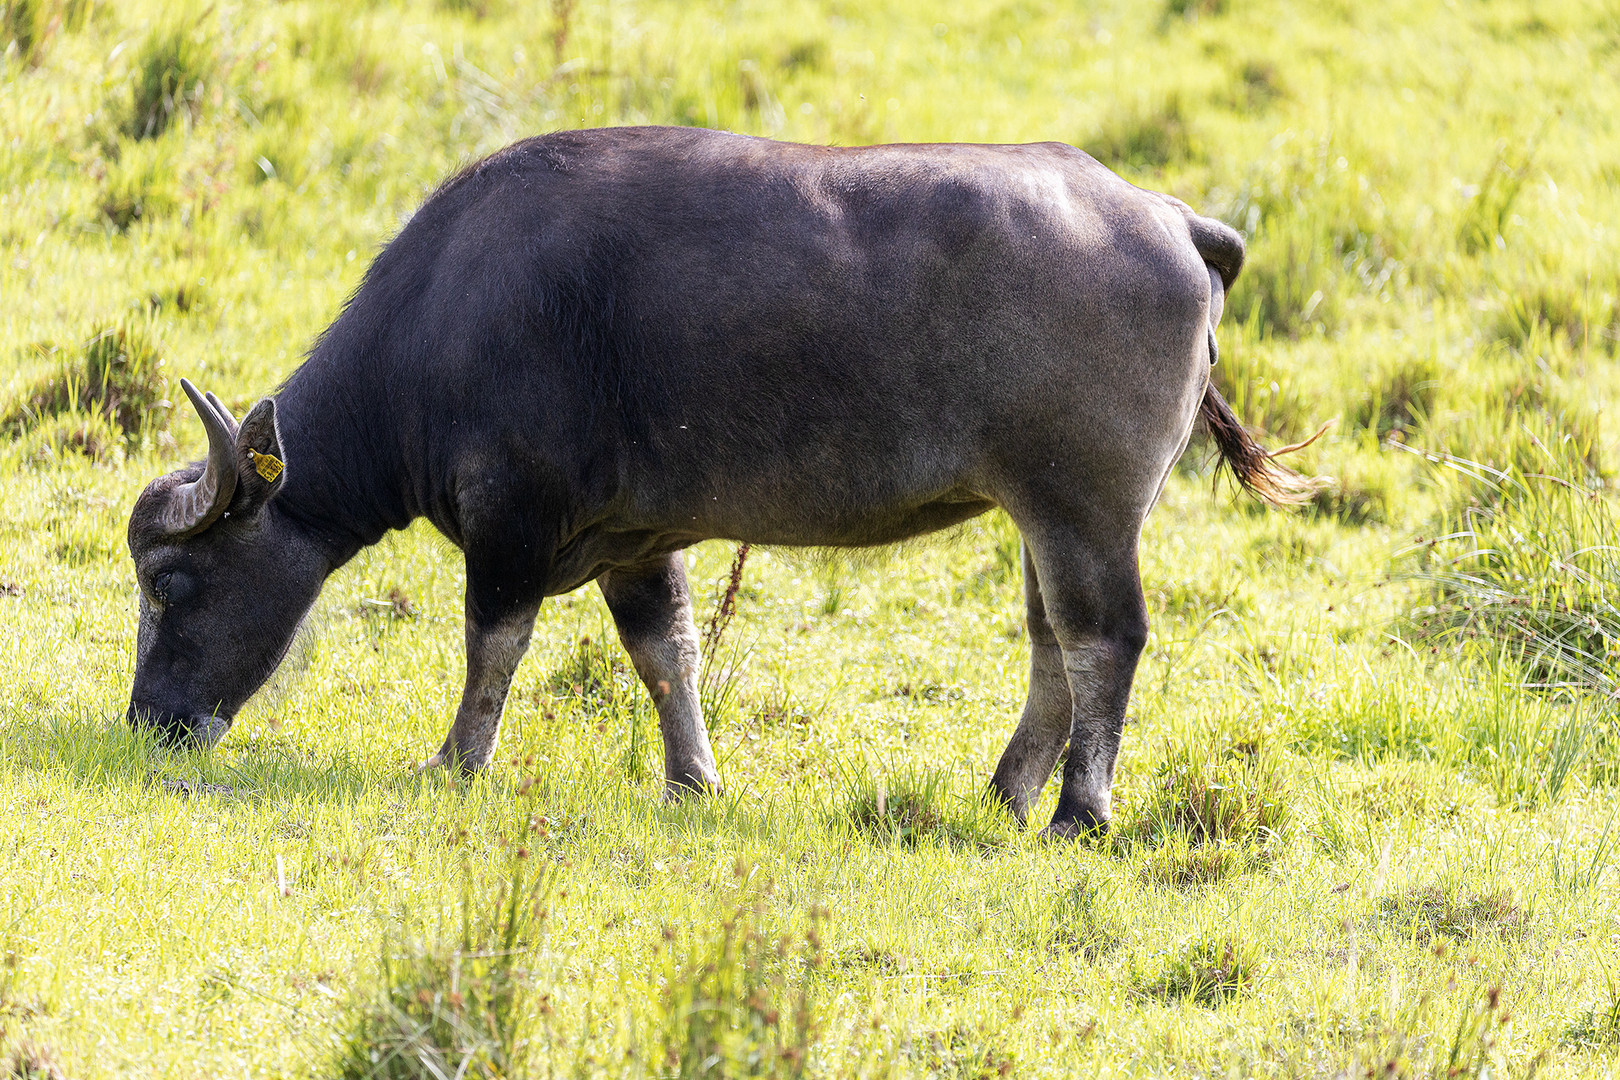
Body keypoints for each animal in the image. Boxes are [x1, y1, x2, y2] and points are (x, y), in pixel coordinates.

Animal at [126, 124, 1315, 835]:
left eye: (171, 585)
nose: (150, 723)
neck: (445, 320)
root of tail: (1169, 217)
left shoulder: (513, 522)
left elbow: (492, 645)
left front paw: (455, 761)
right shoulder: (635, 543)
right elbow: (668, 656)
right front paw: (693, 779)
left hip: (1085, 508)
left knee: (1103, 637)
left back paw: (1078, 811)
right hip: (1038, 512)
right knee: (1051, 645)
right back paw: (1008, 791)